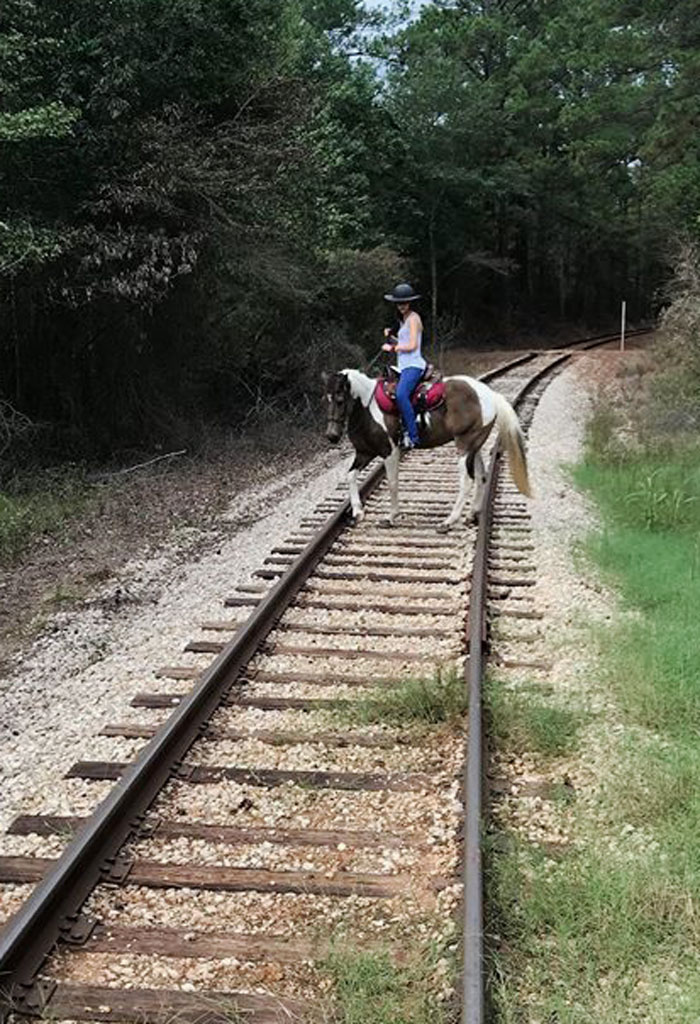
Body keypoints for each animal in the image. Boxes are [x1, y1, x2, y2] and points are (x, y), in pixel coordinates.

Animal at [323, 368, 532, 532]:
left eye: (340, 400)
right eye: (326, 399)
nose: (331, 436)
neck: (369, 408)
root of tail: (490, 395)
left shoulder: (390, 452)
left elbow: (392, 482)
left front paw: (391, 517)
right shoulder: (365, 453)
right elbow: (350, 476)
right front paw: (358, 512)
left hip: (465, 445)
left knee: (467, 480)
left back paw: (448, 521)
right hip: (475, 445)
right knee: (481, 477)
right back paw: (471, 515)